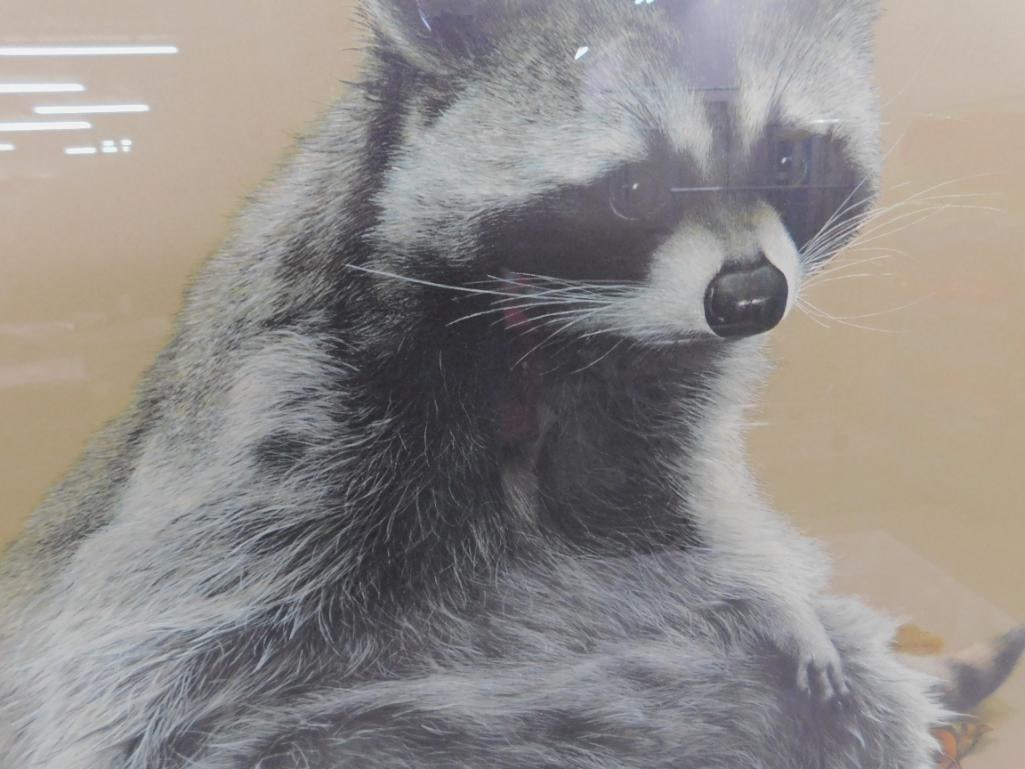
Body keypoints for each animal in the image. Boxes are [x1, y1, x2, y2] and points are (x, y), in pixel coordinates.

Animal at [1, 1, 1020, 768]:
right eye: (633, 190)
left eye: (786, 158)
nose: (748, 297)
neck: (559, 322)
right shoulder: (295, 413)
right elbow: (169, 678)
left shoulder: (655, 384)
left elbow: (668, 510)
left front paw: (776, 591)